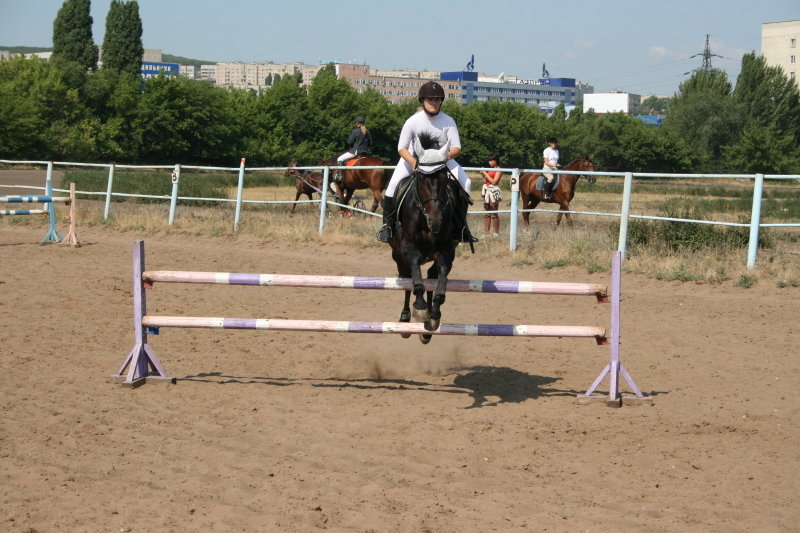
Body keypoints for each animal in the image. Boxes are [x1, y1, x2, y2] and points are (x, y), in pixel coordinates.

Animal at [390, 139, 460, 342]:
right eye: (421, 178)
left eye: (445, 178)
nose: (435, 220)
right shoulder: (408, 248)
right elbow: (416, 277)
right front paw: (420, 308)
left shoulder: (446, 250)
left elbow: (441, 277)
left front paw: (434, 314)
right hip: (398, 257)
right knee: (407, 280)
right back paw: (405, 320)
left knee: (431, 276)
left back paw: (427, 326)